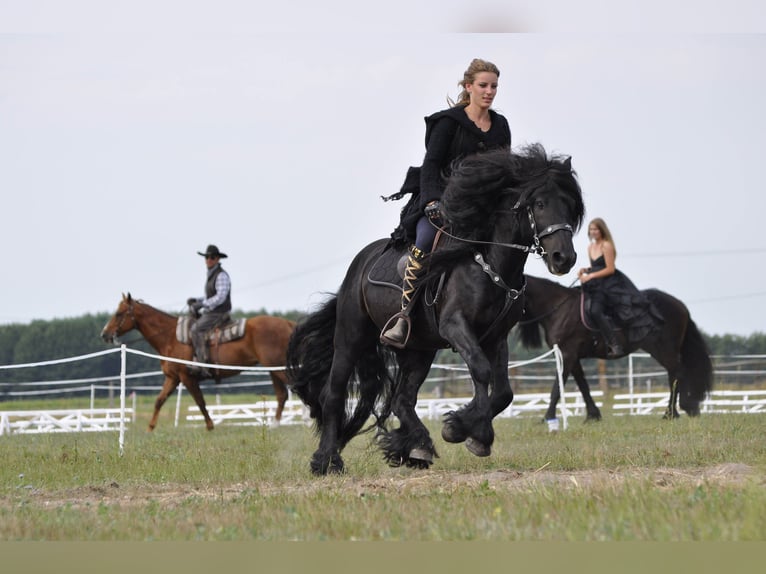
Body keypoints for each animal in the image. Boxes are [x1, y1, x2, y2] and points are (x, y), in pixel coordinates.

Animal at [102, 292, 294, 432]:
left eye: (118, 313)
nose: (104, 334)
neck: (170, 337)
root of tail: (287, 323)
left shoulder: (187, 377)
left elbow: (200, 401)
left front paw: (210, 426)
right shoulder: (173, 378)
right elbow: (159, 400)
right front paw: (150, 428)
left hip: (277, 367)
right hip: (272, 368)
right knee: (282, 395)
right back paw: (275, 425)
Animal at [288, 145, 588, 476]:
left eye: (570, 205)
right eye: (540, 203)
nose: (563, 258)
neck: (489, 263)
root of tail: (359, 264)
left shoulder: (496, 337)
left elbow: (503, 392)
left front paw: (467, 429)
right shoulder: (456, 326)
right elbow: (481, 370)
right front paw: (466, 431)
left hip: (419, 350)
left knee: (402, 400)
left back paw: (416, 447)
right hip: (351, 337)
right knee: (334, 393)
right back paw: (327, 460)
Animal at [520, 274, 716, 424]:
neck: (559, 308)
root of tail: (680, 305)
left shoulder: (567, 354)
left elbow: (556, 387)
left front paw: (548, 417)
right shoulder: (572, 357)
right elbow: (583, 385)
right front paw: (593, 416)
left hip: (664, 350)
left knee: (676, 374)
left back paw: (671, 413)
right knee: (675, 373)